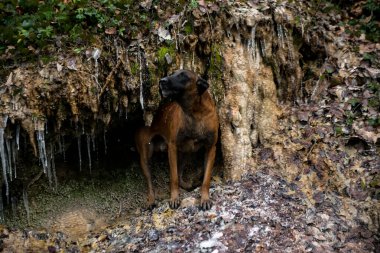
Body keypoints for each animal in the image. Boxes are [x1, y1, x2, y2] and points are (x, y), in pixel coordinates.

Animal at [136, 69, 220, 210]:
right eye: (172, 73)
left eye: (183, 76)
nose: (161, 81)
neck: (195, 113)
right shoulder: (172, 147)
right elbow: (173, 177)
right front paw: (174, 198)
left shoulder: (210, 149)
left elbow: (206, 178)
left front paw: (205, 198)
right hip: (145, 157)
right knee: (150, 183)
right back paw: (151, 200)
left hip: (186, 152)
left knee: (180, 175)